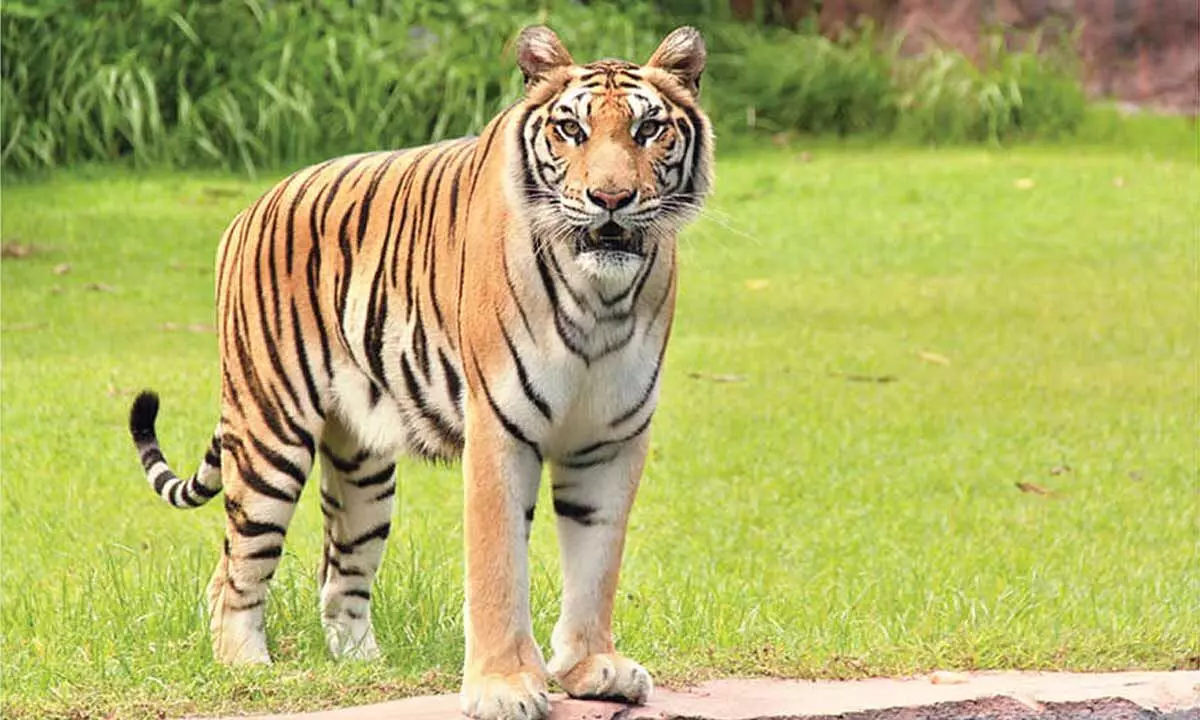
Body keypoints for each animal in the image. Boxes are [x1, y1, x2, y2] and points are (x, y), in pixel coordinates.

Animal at [127, 24, 712, 719]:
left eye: (649, 130)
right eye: (572, 129)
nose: (612, 199)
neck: (602, 298)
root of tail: (249, 211)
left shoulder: (610, 437)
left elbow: (597, 563)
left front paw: (592, 668)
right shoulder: (501, 430)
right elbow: (497, 567)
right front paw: (503, 686)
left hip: (363, 469)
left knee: (339, 577)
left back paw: (363, 667)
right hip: (270, 434)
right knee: (233, 573)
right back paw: (249, 669)